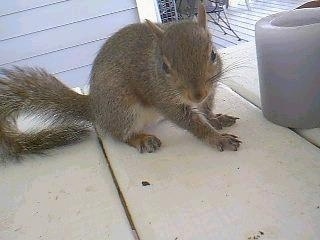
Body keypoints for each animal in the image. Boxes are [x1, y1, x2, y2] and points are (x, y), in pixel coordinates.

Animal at [0, 2, 240, 159]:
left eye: (213, 55)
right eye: (164, 66)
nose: (197, 94)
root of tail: (94, 107)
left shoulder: (211, 89)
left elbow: (206, 110)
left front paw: (215, 119)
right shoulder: (163, 98)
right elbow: (191, 123)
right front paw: (216, 138)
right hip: (123, 107)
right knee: (120, 134)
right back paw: (141, 139)